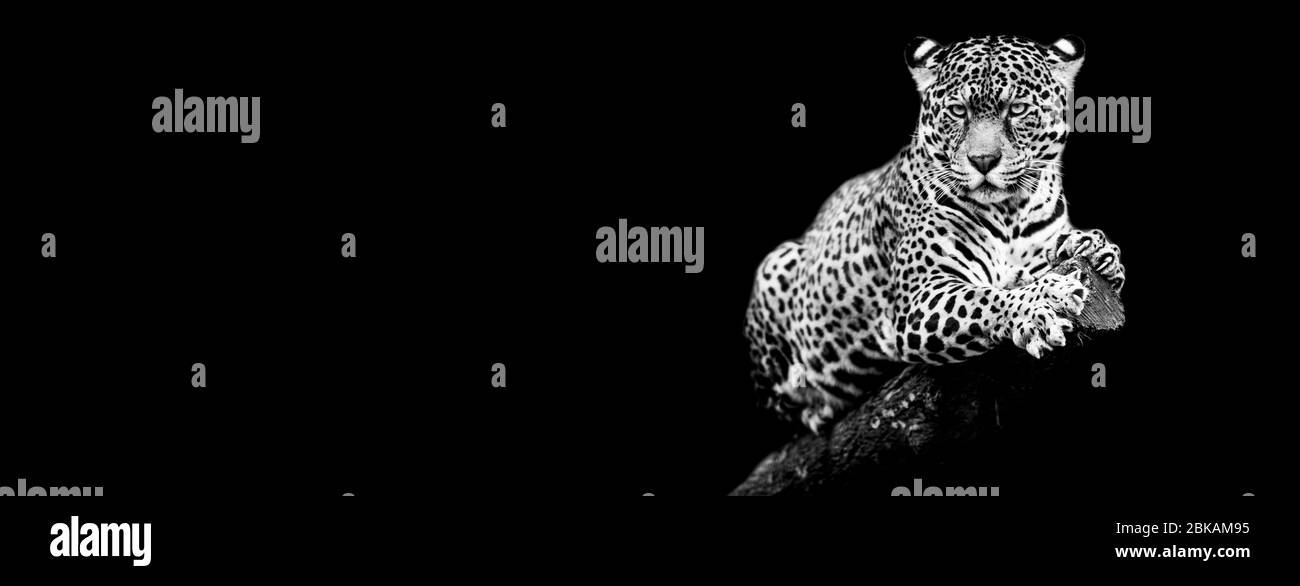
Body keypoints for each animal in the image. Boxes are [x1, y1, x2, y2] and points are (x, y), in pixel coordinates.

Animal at [745, 35, 1125, 433]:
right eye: (958, 111)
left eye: (1018, 109)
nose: (983, 161)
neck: (1010, 210)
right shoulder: (918, 299)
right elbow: (982, 298)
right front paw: (1044, 298)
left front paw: (1095, 249)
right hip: (776, 267)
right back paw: (817, 408)